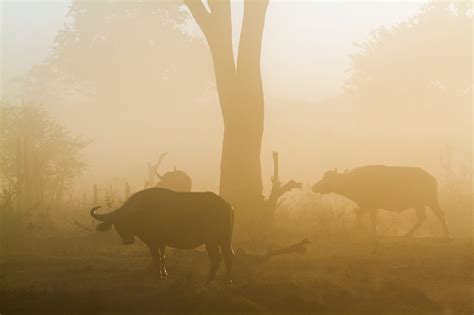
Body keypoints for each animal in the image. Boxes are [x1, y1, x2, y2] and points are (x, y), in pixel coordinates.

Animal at [89, 189, 233, 282]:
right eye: (118, 223)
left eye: (129, 220)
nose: (128, 241)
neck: (143, 214)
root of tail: (226, 205)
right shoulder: (161, 242)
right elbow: (163, 257)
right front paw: (164, 274)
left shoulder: (153, 242)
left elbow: (156, 257)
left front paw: (158, 275)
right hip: (225, 239)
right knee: (228, 255)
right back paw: (227, 279)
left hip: (211, 240)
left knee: (216, 257)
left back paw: (210, 279)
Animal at [312, 167, 450, 238]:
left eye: (328, 178)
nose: (314, 187)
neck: (354, 181)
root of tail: (433, 179)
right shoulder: (365, 206)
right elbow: (359, 216)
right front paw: (363, 229)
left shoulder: (372, 206)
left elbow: (371, 219)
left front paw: (371, 232)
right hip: (420, 204)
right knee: (423, 217)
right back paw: (407, 235)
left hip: (429, 200)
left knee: (439, 214)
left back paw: (445, 235)